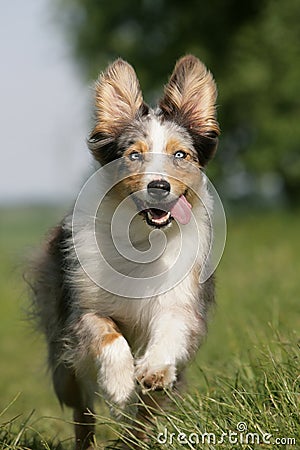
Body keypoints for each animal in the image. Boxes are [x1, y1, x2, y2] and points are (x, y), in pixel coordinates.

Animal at [32, 54, 220, 448]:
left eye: (180, 155)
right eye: (134, 155)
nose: (159, 186)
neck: (142, 238)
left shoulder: (181, 300)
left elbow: (171, 328)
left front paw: (153, 369)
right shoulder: (81, 310)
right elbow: (106, 334)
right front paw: (119, 385)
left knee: (146, 412)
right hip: (64, 364)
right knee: (83, 410)